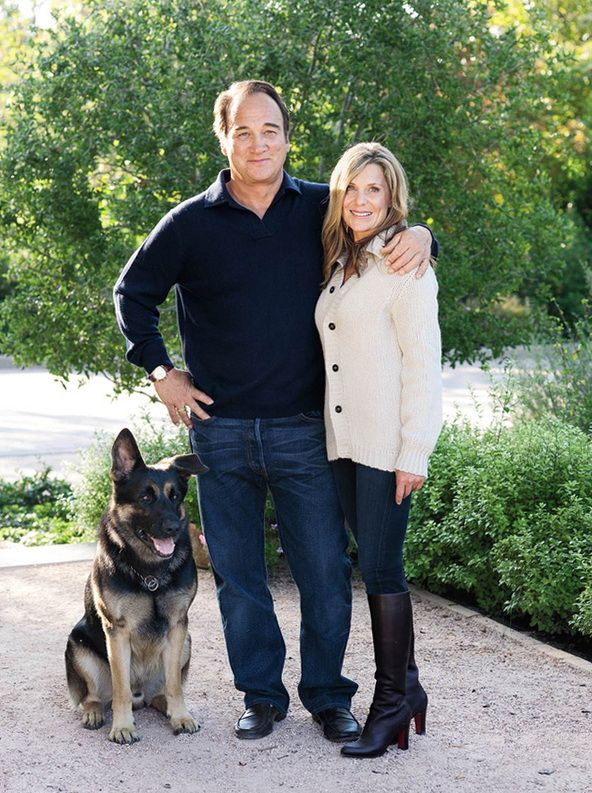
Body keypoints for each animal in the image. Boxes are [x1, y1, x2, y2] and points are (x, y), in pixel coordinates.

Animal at [64, 426, 207, 744]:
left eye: (175, 496)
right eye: (145, 497)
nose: (173, 529)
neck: (149, 571)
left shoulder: (178, 625)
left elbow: (175, 685)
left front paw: (180, 716)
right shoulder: (116, 631)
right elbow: (121, 689)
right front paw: (123, 726)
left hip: (186, 642)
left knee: (162, 691)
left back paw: (169, 707)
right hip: (77, 646)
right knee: (94, 696)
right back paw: (94, 713)